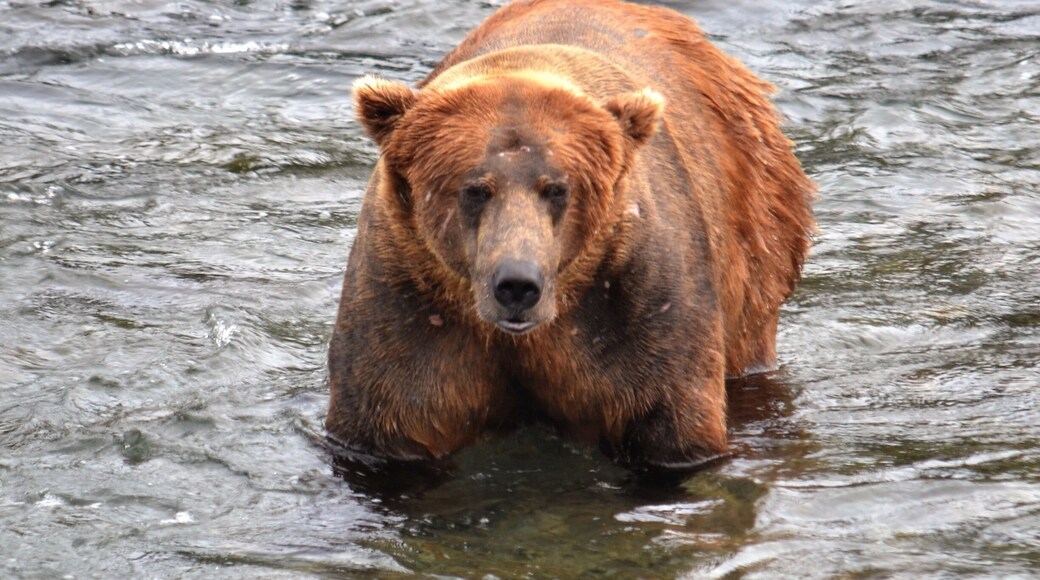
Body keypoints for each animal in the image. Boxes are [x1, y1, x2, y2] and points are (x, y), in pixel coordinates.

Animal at [327, 0, 814, 471]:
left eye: (558, 188)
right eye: (475, 188)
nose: (517, 285)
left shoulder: (636, 299)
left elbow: (671, 424)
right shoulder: (407, 297)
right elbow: (390, 422)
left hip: (757, 236)